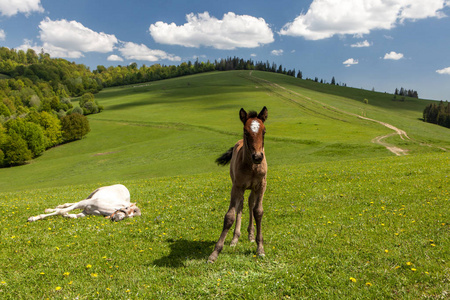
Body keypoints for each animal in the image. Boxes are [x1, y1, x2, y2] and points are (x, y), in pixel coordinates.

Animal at [207, 106, 268, 262]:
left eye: (264, 131)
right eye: (246, 132)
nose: (257, 157)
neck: (252, 167)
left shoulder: (261, 185)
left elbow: (258, 211)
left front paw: (260, 248)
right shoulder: (237, 187)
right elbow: (230, 216)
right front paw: (215, 253)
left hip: (252, 188)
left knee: (250, 203)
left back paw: (250, 235)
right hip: (240, 187)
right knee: (240, 205)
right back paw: (235, 238)